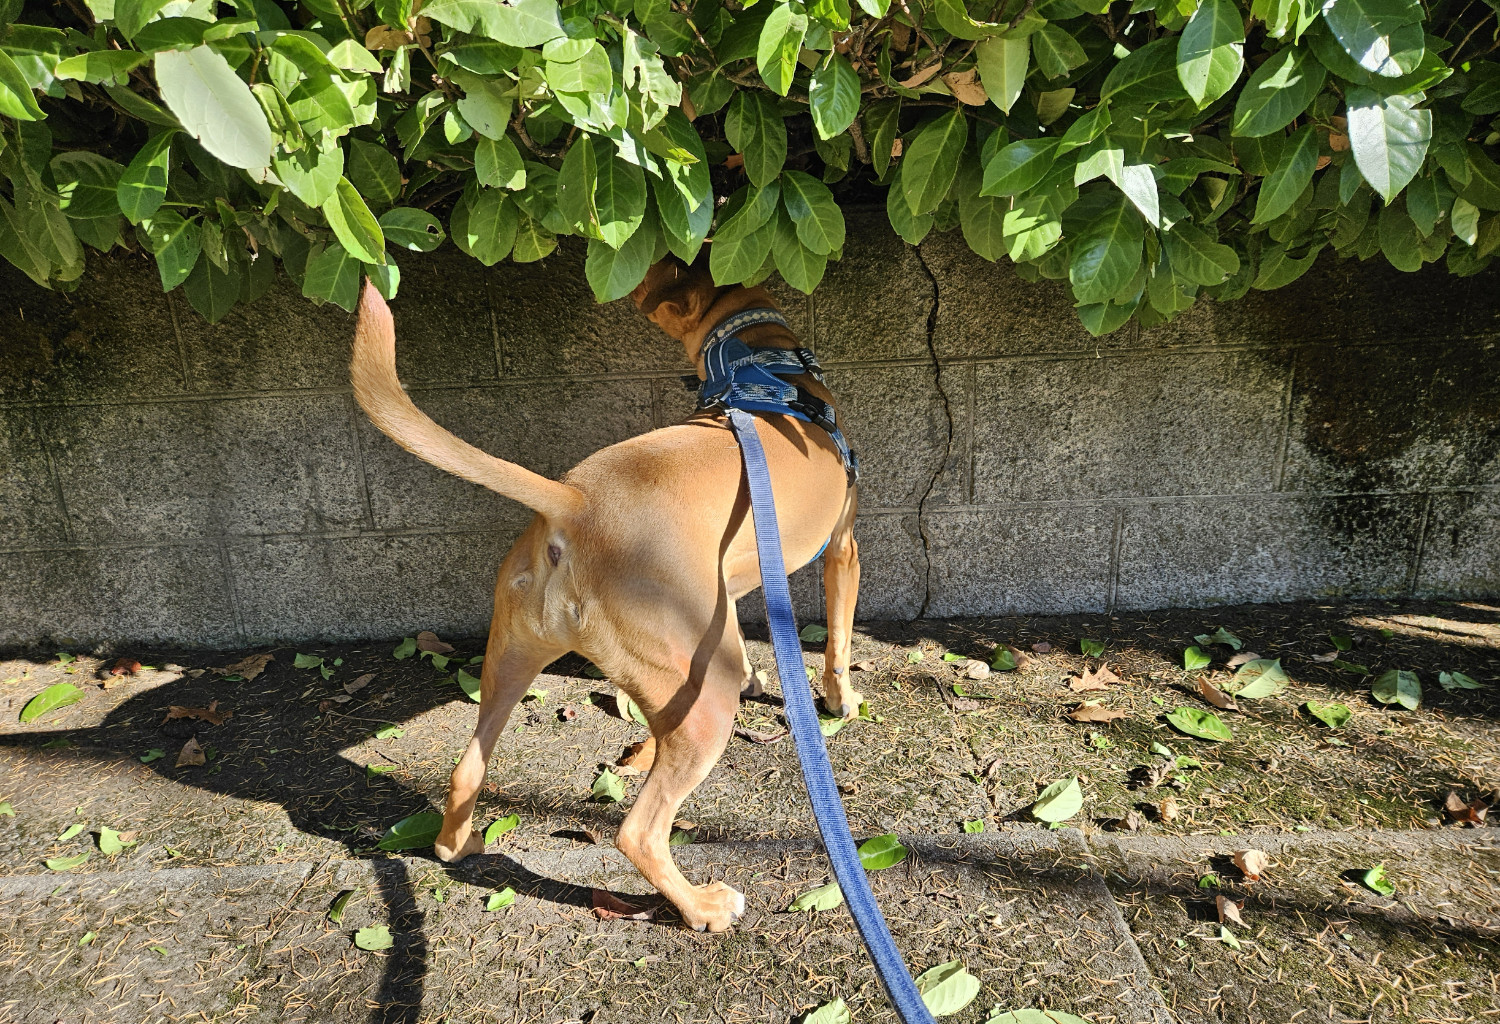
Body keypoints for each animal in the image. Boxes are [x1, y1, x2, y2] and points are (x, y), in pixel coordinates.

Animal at [351, 260, 864, 935]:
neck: (765, 368)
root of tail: (574, 501)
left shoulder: (730, 588)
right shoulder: (842, 549)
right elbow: (837, 640)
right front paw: (841, 699)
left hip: (511, 659)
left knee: (467, 769)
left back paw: (458, 844)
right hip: (704, 703)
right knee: (637, 832)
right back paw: (700, 906)